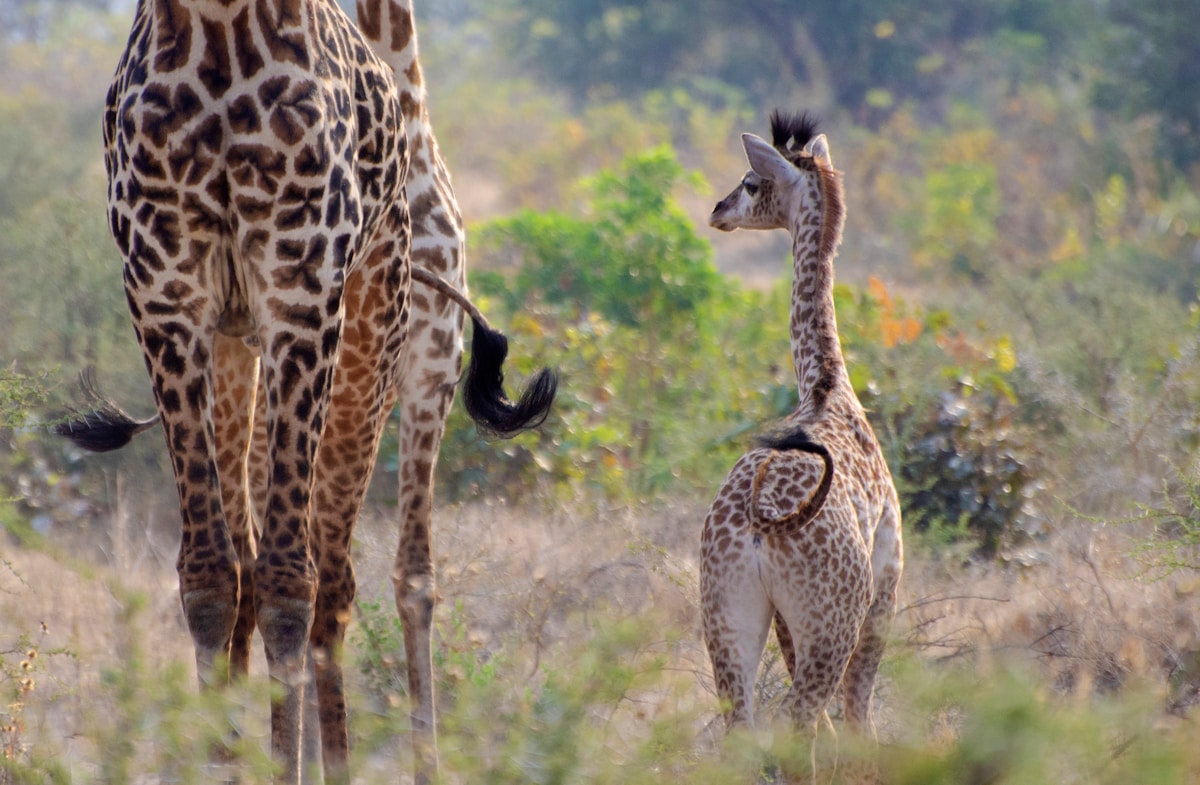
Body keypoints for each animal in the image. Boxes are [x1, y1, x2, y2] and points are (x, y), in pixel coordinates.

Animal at [54, 0, 555, 781]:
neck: (219, 25)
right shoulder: (164, 290)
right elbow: (211, 577)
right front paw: (225, 755)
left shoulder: (312, 294)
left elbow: (298, 583)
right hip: (250, 354)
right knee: (268, 562)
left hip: (372, 335)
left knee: (345, 578)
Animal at [699, 111, 903, 784]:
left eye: (748, 182)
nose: (716, 210)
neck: (826, 386)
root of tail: (762, 520)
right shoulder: (888, 577)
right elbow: (861, 714)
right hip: (833, 618)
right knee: (804, 722)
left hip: (726, 612)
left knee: (745, 728)